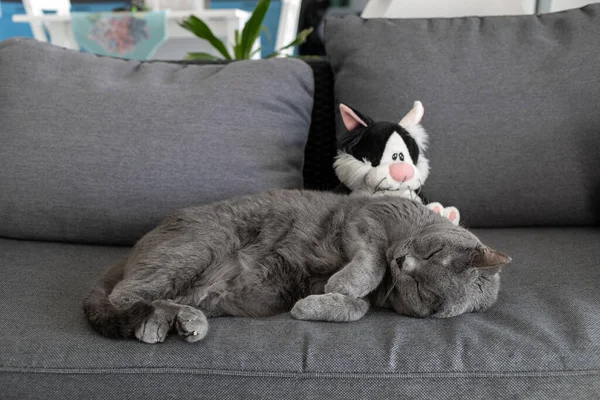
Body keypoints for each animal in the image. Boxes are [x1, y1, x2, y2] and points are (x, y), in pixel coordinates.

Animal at [83, 188, 510, 344]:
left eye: (422, 291)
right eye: (434, 252)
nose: (403, 261)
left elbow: (358, 308)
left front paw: (313, 305)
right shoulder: (368, 215)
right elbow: (371, 257)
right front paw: (348, 283)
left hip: (209, 289)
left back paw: (187, 322)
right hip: (199, 248)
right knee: (126, 296)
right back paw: (156, 323)